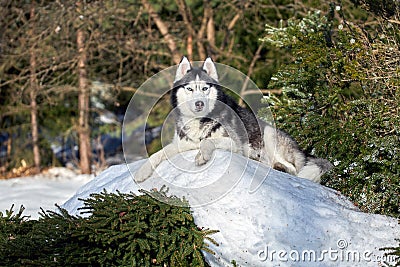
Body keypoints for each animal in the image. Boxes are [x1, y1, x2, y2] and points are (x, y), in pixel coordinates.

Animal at [134, 57, 332, 184]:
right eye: (190, 89)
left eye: (205, 88)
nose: (199, 103)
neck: (200, 121)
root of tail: (302, 151)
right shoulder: (182, 144)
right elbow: (158, 153)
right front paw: (141, 172)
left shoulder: (234, 144)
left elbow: (207, 141)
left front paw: (202, 155)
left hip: (269, 135)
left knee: (293, 168)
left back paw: (279, 166)